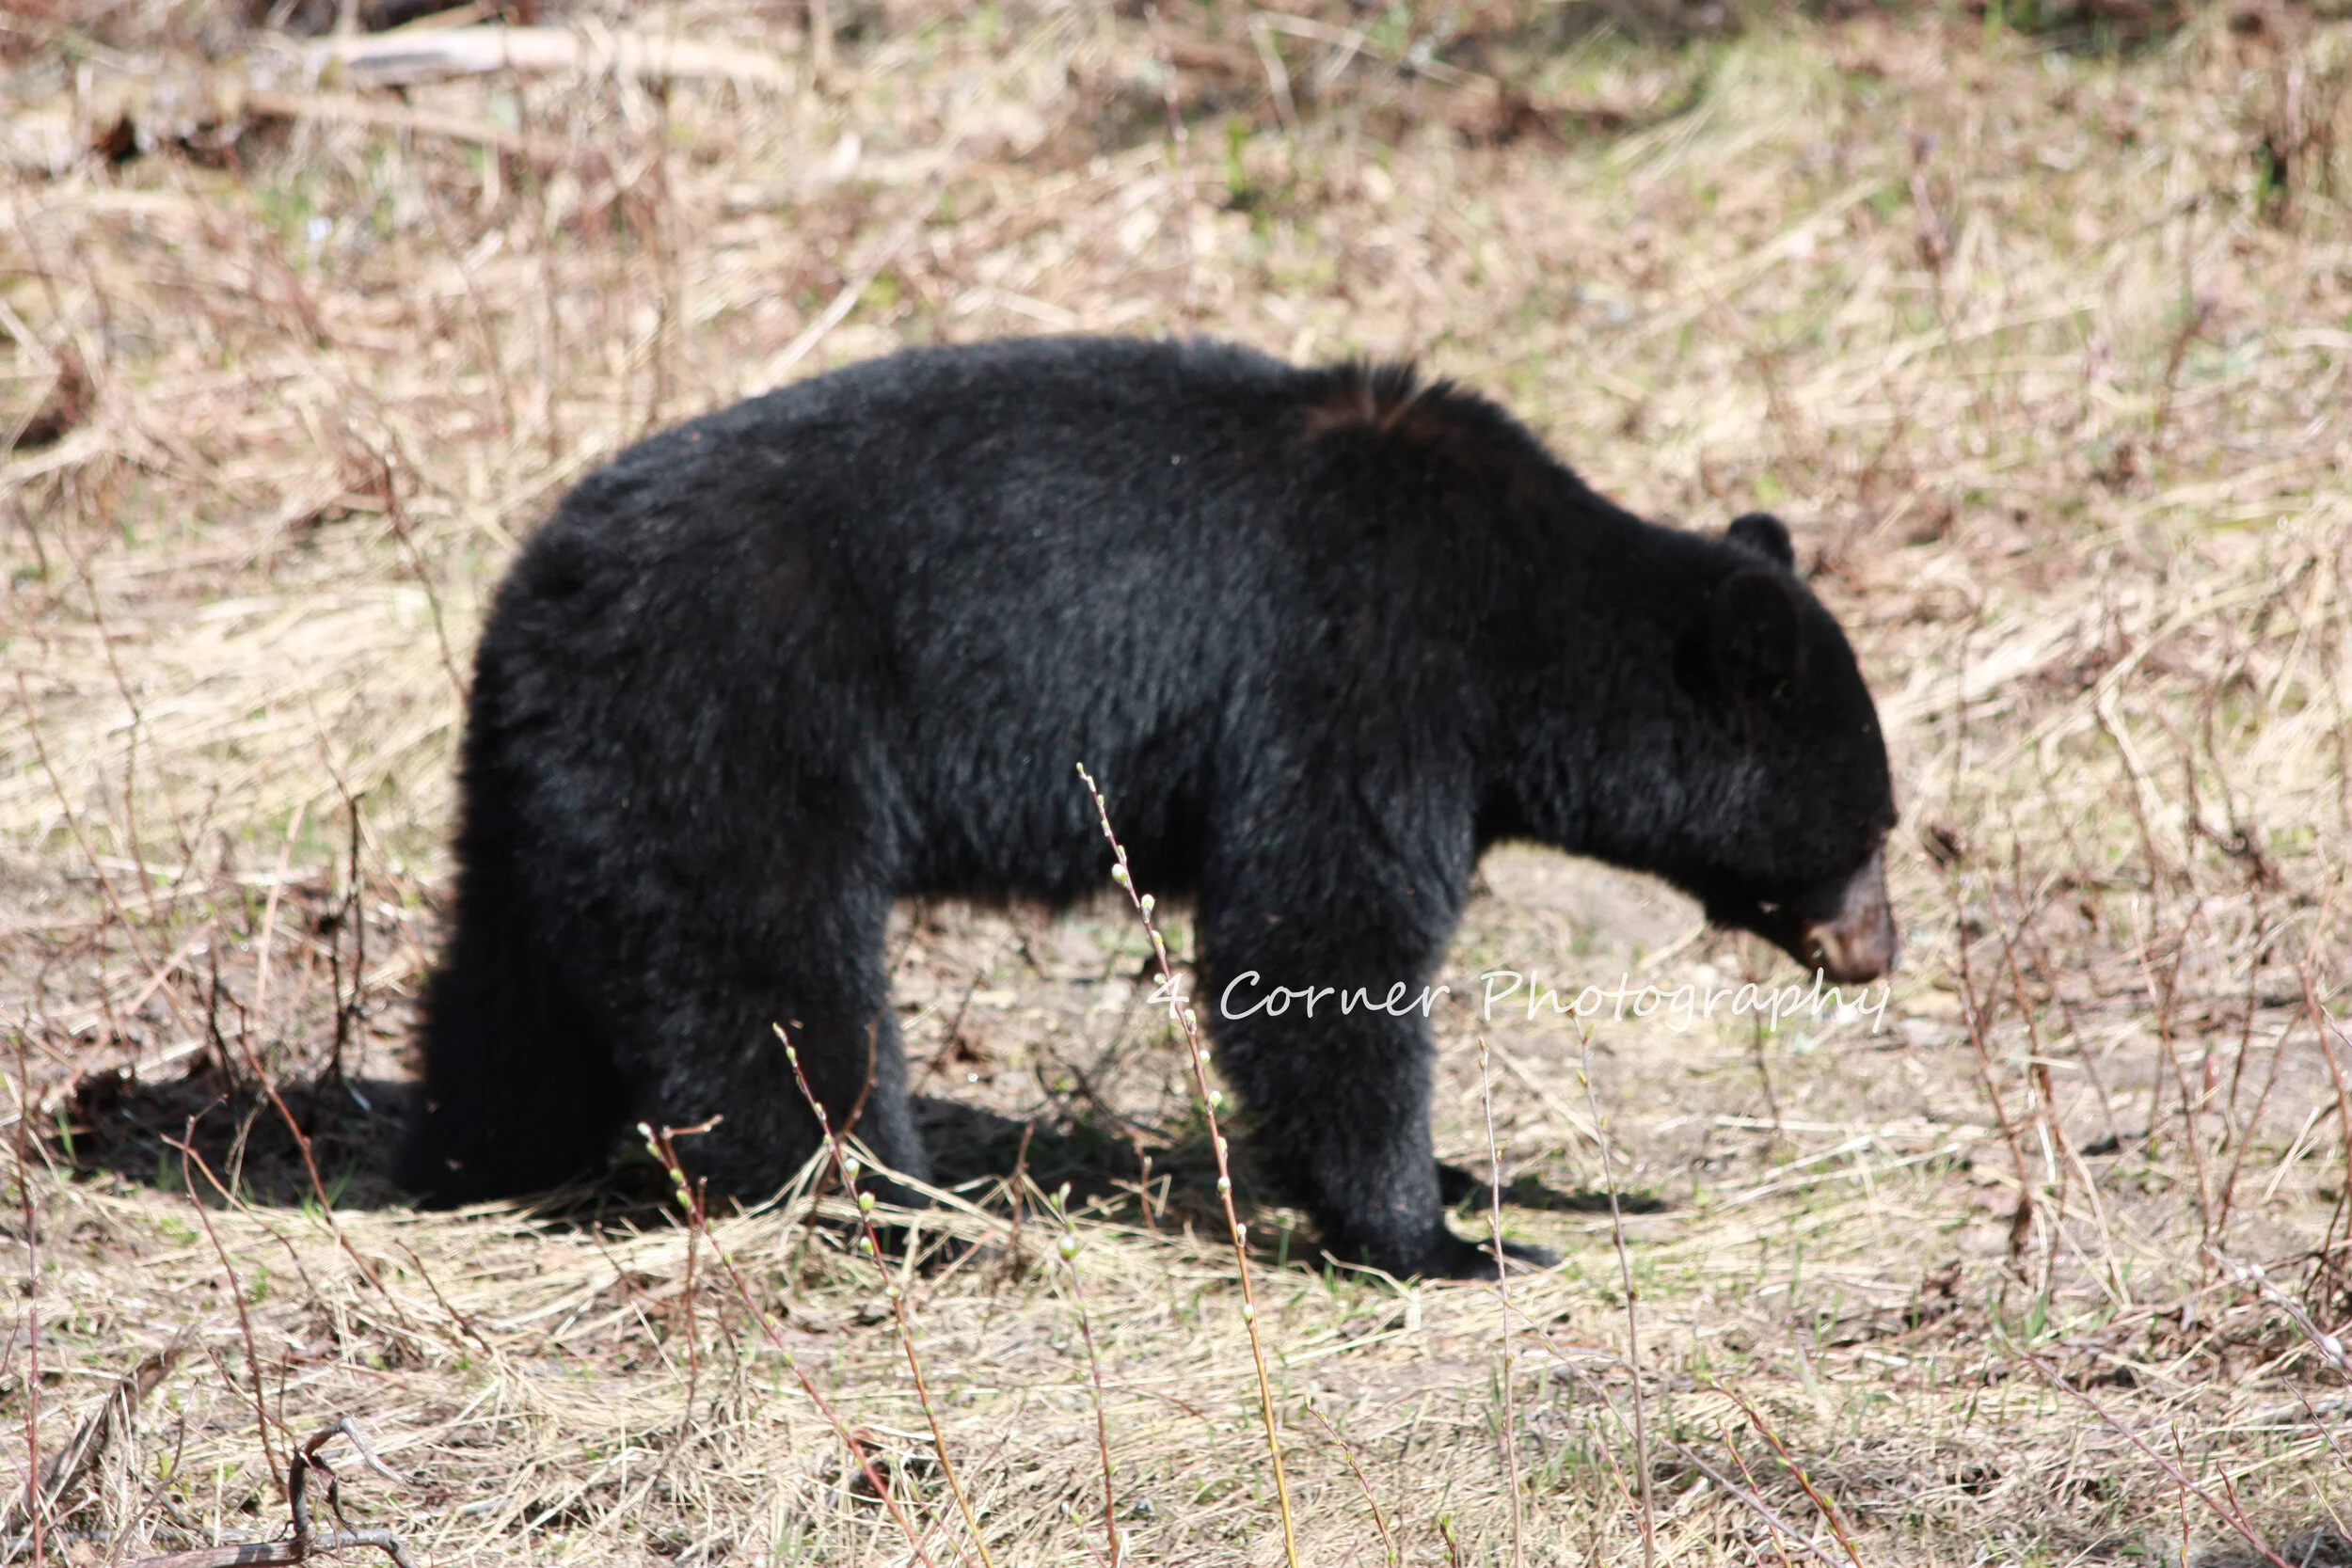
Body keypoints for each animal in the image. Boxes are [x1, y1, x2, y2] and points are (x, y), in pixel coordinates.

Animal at [399, 335, 1898, 1280]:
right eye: (1875, 825)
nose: (1879, 948)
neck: (1526, 619)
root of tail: (541, 586)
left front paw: (1466, 1182)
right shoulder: (1358, 668)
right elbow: (1316, 936)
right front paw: (1441, 1237)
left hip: (564, 783)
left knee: (512, 992)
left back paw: (476, 1165)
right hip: (738, 720)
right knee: (771, 989)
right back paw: (903, 1214)